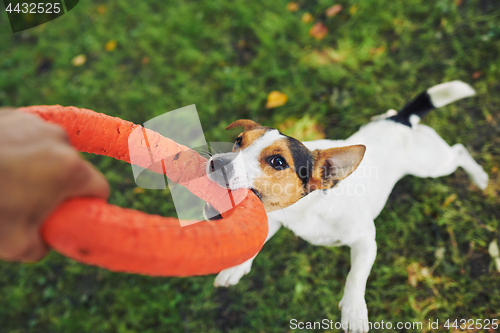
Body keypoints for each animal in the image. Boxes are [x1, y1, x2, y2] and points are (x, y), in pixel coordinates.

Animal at [204, 81, 488, 332]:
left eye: (278, 161)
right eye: (238, 140)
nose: (216, 162)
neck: (308, 209)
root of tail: (402, 121)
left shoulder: (366, 241)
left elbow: (356, 277)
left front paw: (354, 312)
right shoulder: (273, 217)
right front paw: (236, 268)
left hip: (432, 165)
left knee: (459, 151)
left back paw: (479, 177)